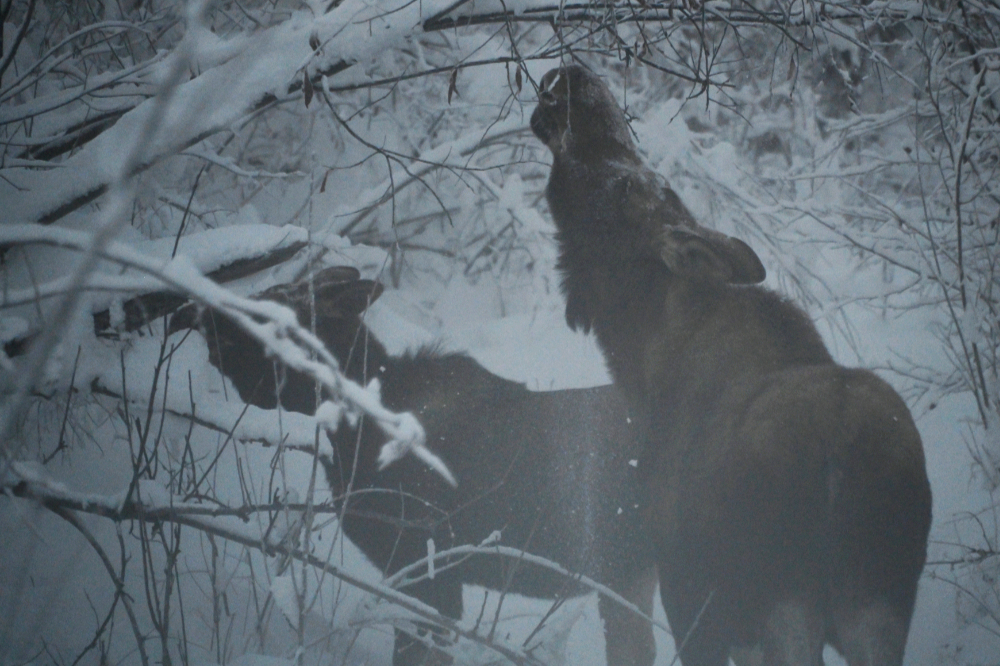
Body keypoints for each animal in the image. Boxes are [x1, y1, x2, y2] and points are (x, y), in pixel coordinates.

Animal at [530, 64, 932, 666]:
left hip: (784, 602)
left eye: (625, 187)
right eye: (657, 182)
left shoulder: (691, 598)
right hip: (877, 604)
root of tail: (846, 455)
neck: (639, 361)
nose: (574, 76)